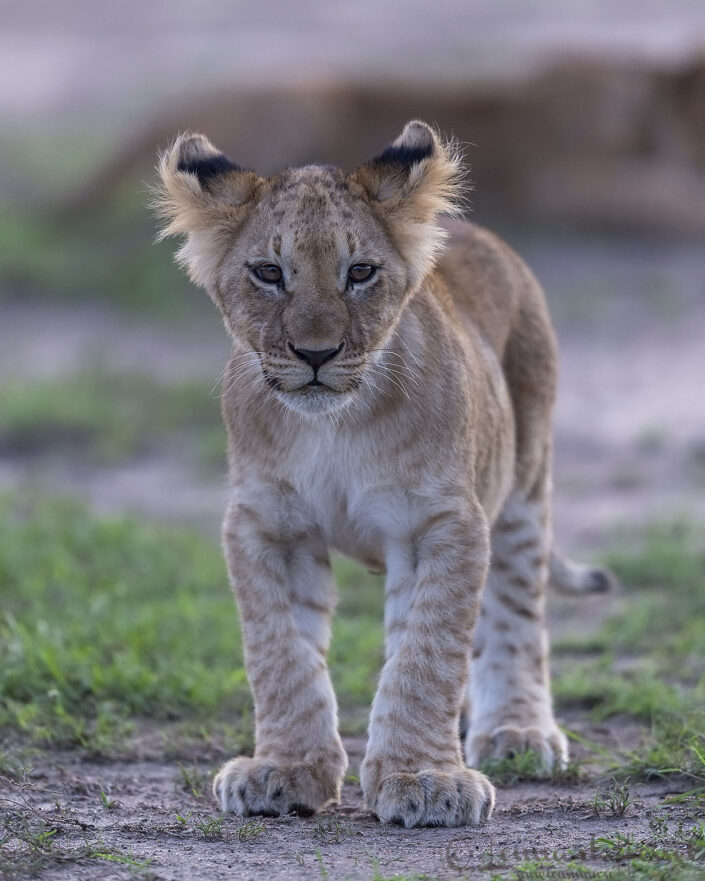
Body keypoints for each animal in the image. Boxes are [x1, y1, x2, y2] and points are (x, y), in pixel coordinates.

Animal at [154, 121, 610, 828]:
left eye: (360, 272)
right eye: (269, 273)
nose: (315, 354)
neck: (333, 428)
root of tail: (478, 234)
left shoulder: (440, 522)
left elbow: (425, 656)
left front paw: (424, 779)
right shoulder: (267, 525)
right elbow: (280, 653)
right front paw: (285, 770)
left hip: (524, 481)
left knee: (515, 613)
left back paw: (517, 730)